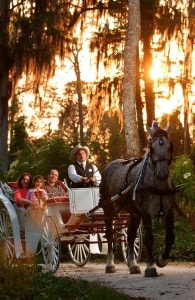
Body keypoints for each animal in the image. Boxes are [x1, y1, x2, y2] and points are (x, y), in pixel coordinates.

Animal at [100, 124, 176, 276]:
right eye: (151, 147)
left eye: (170, 146)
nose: (162, 173)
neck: (157, 185)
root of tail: (109, 165)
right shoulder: (146, 212)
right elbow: (149, 238)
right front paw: (151, 267)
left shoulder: (168, 211)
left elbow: (170, 236)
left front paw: (162, 259)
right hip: (108, 210)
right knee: (110, 235)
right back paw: (110, 264)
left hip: (133, 213)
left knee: (130, 236)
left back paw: (133, 265)